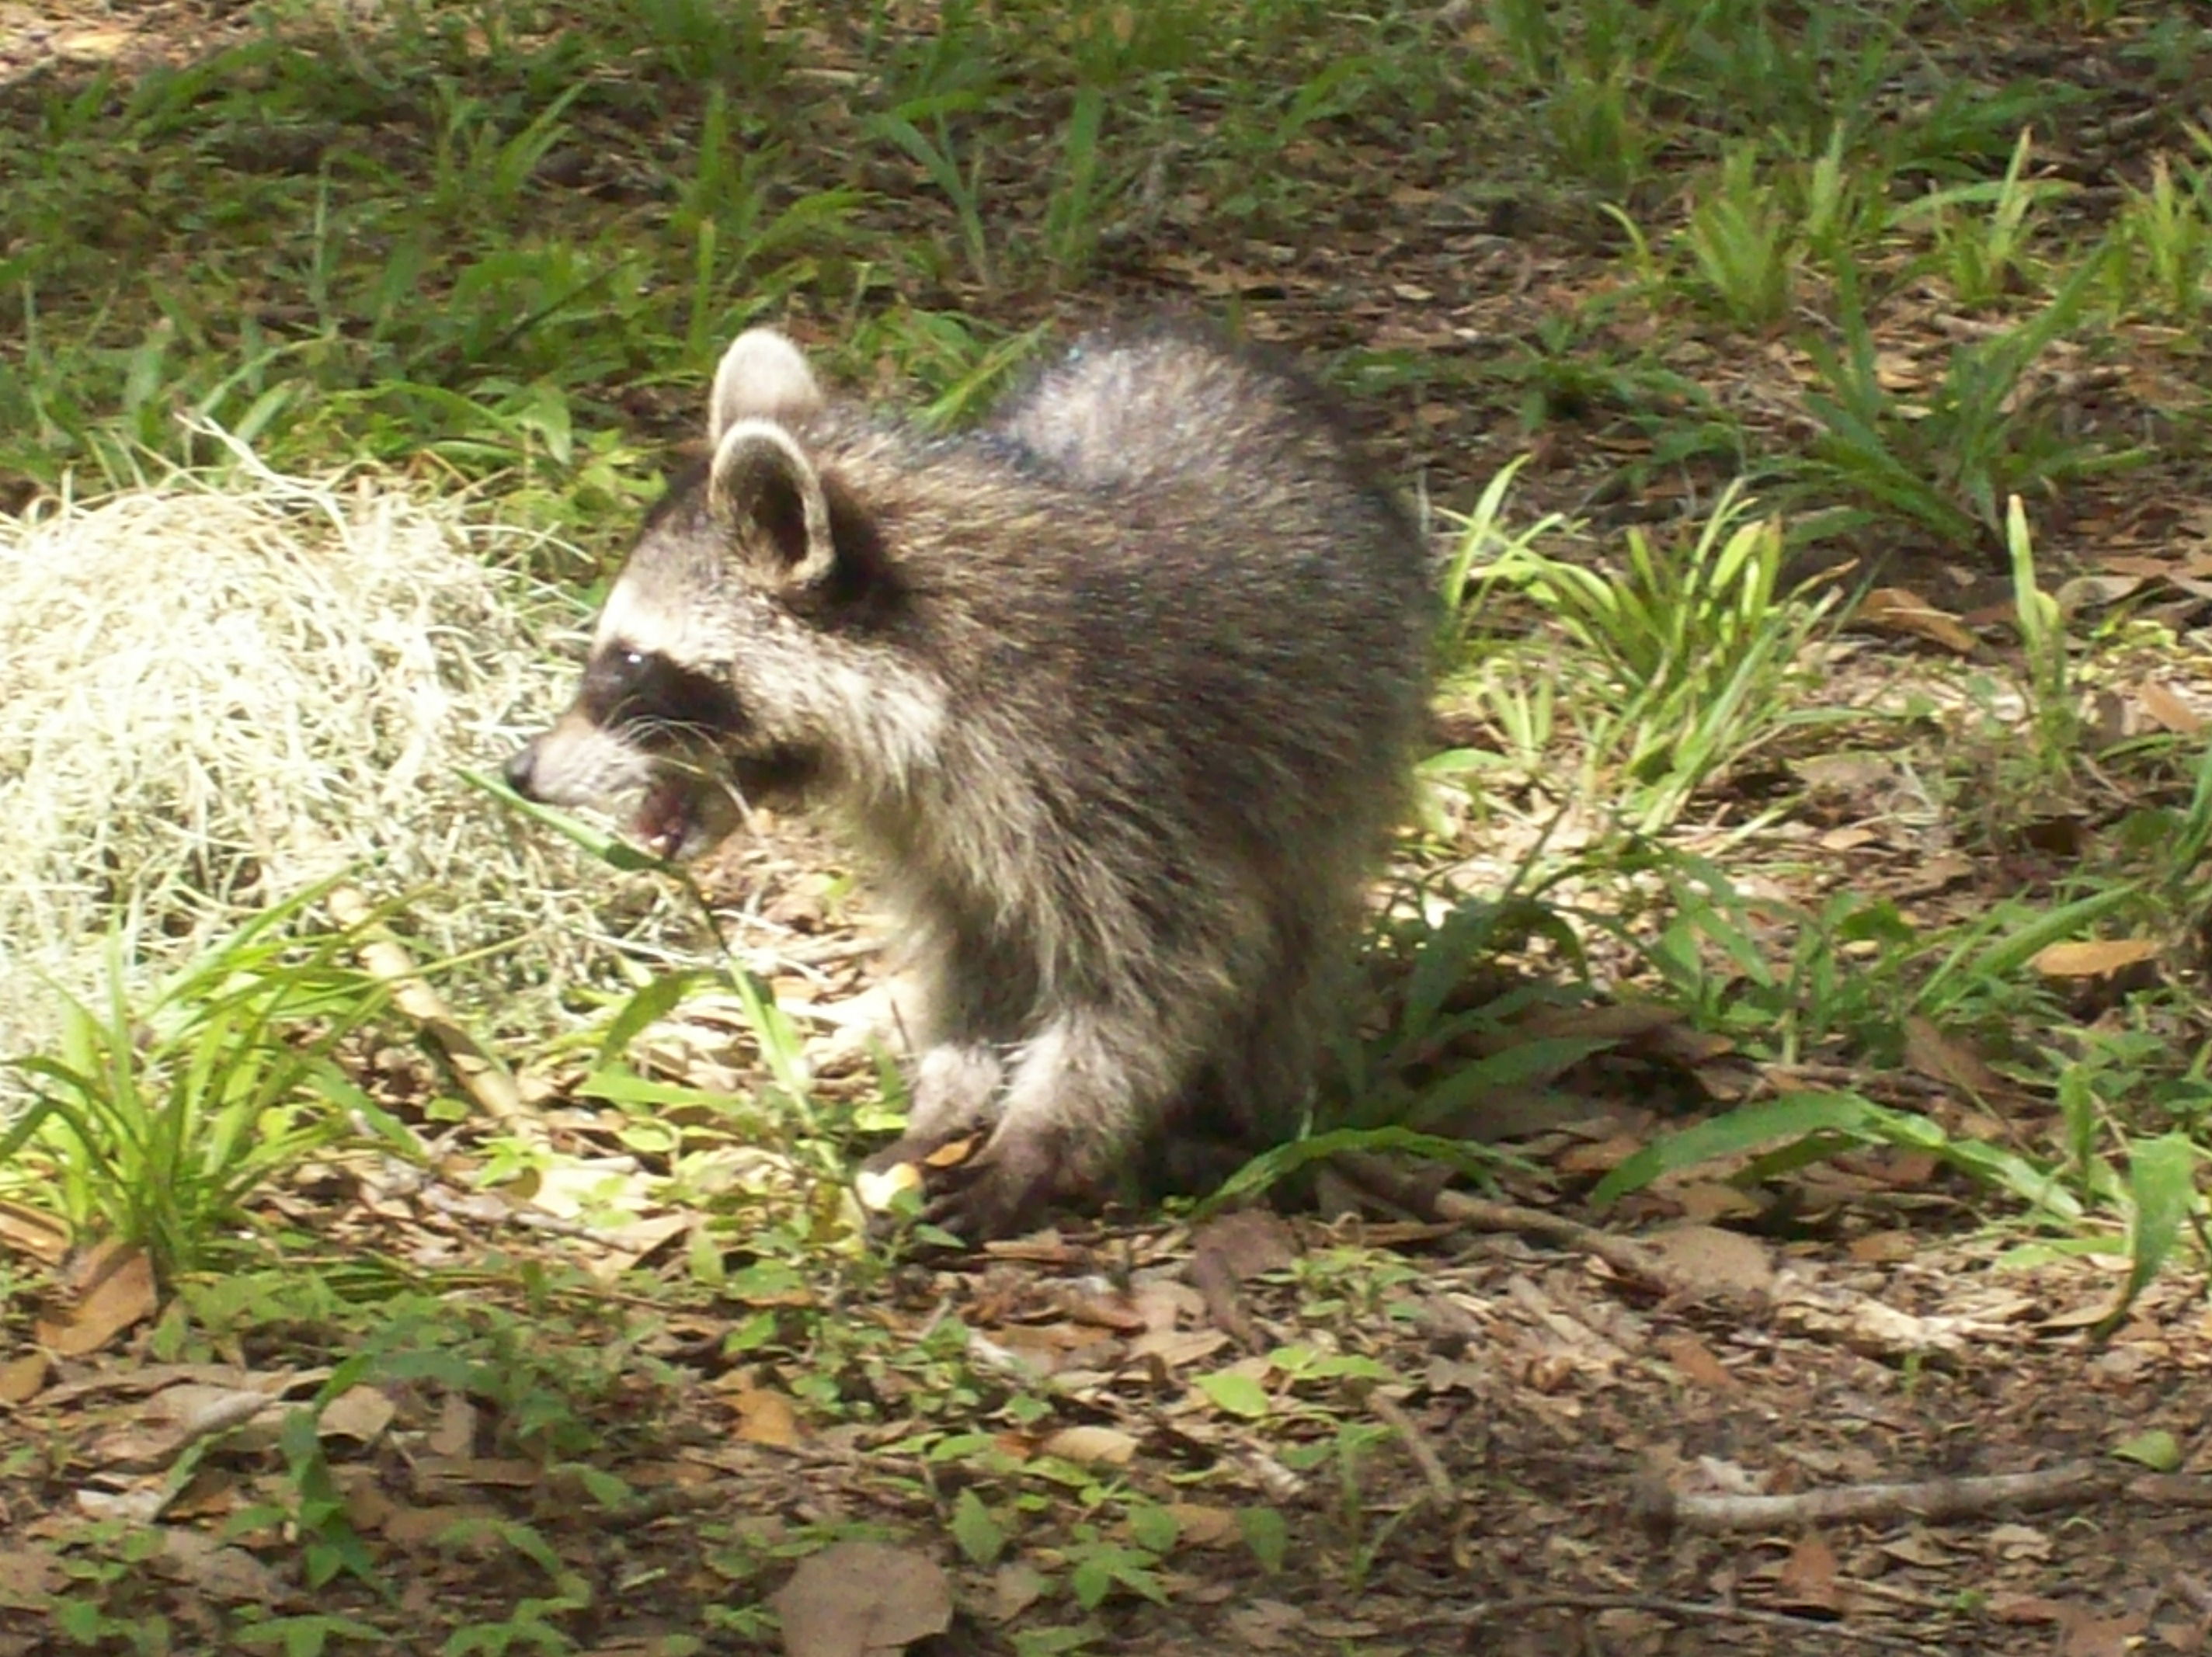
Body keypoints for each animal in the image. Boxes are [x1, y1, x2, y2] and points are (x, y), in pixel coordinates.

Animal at [502, 322, 1433, 1238]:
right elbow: (973, 954)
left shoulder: (1111, 771)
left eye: (630, 665)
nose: (520, 772)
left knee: (1291, 932)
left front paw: (1039, 1135)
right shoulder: (932, 821)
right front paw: (946, 1101)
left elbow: (1156, 973)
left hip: (1345, 744)